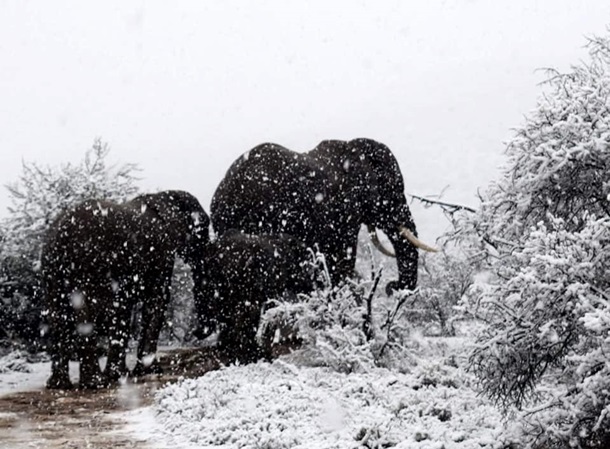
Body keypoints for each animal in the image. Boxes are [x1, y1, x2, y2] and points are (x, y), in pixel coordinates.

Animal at [41, 189, 209, 388]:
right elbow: (156, 300)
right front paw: (146, 371)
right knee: (84, 314)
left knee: (57, 315)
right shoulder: (160, 254)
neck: (163, 196)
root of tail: (61, 235)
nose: (197, 332)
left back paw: (59, 385)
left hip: (52, 269)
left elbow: (124, 309)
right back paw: (96, 383)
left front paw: (123, 374)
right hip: (88, 265)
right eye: (203, 229)